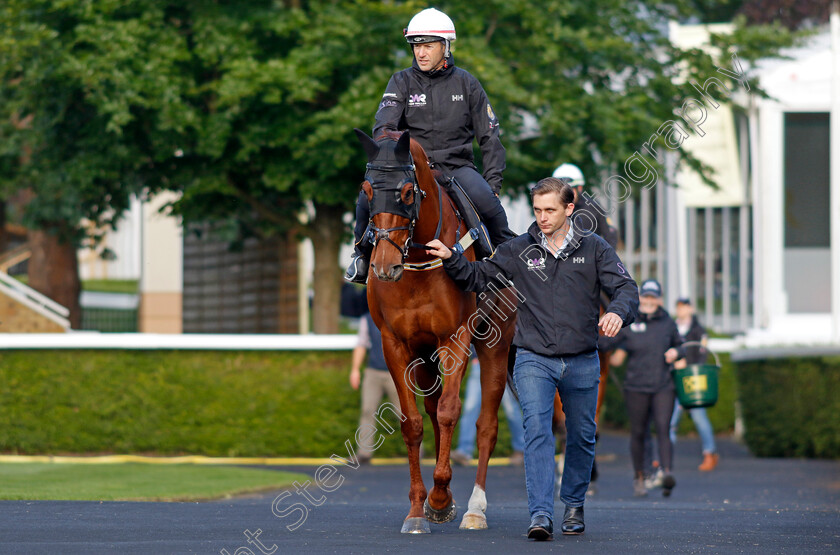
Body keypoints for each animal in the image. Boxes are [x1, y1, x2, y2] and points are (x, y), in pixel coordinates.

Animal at [356, 128, 520, 532]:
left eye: (407, 192)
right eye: (367, 190)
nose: (383, 266)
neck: (417, 261)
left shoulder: (456, 338)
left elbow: (449, 412)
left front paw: (442, 496)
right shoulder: (395, 344)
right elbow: (413, 423)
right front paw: (420, 507)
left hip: (494, 347)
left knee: (486, 426)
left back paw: (475, 507)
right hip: (426, 356)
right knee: (430, 411)